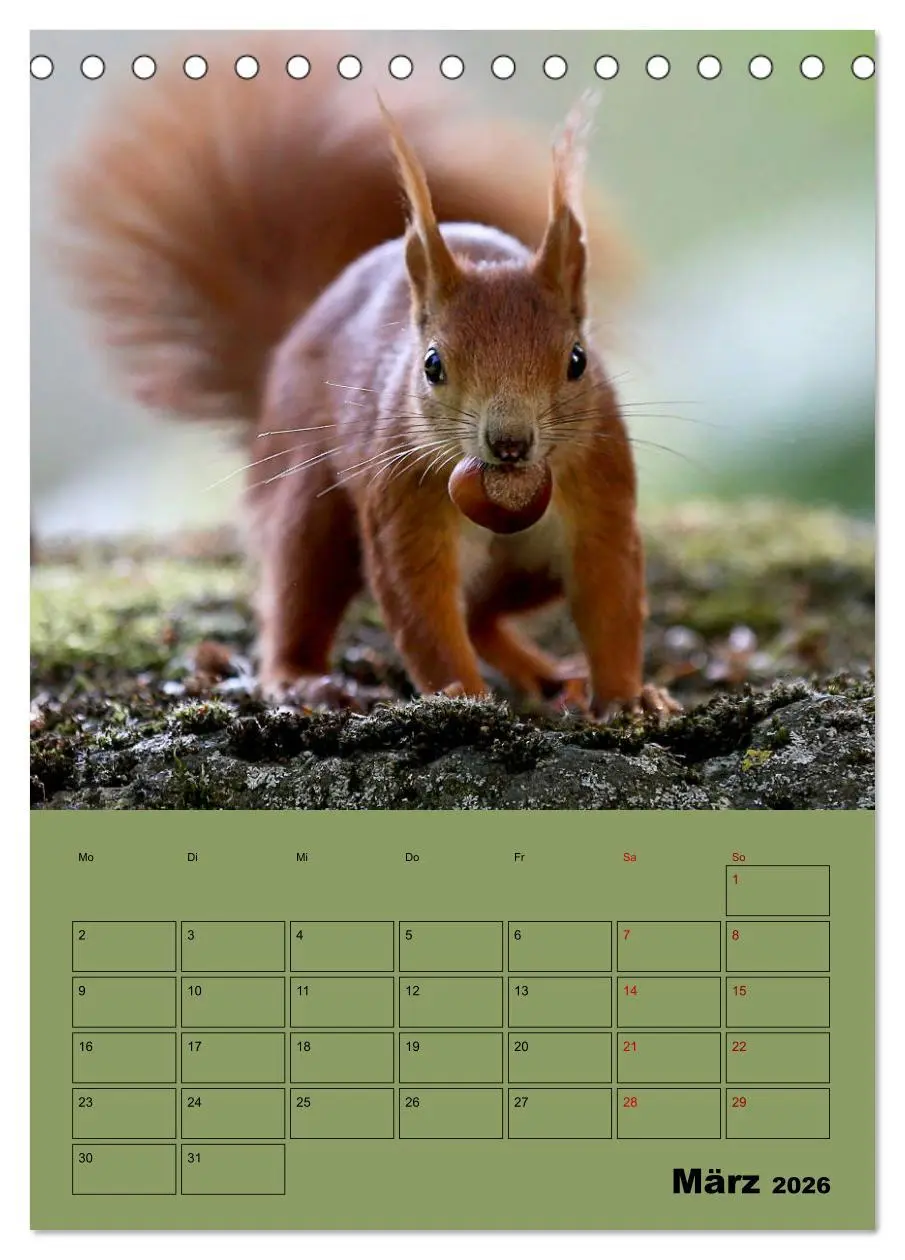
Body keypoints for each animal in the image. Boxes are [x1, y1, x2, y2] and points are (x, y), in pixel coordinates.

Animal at [55, 35, 679, 722]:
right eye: (432, 364)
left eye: (577, 360)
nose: (510, 444)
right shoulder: (401, 495)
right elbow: (419, 604)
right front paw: (463, 698)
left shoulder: (600, 489)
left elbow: (610, 593)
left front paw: (629, 698)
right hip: (310, 508)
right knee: (302, 592)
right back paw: (303, 679)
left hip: (524, 572)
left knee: (483, 615)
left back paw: (545, 677)